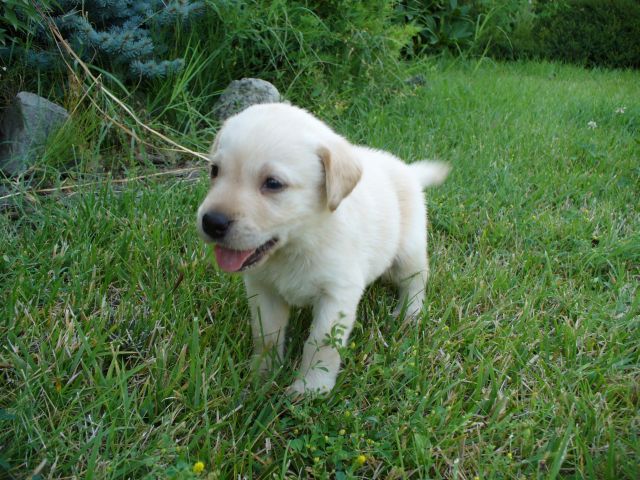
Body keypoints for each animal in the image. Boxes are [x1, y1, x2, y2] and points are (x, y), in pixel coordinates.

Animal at [198, 102, 448, 394]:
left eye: (273, 183)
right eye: (215, 170)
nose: (212, 222)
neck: (301, 242)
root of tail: (408, 170)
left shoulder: (338, 294)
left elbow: (320, 345)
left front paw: (309, 389)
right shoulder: (263, 289)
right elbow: (266, 334)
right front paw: (261, 375)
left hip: (409, 249)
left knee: (416, 281)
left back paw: (409, 314)